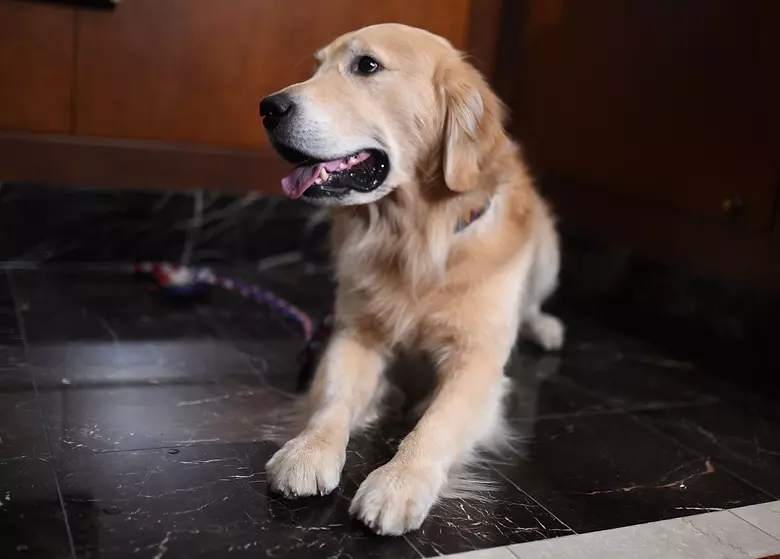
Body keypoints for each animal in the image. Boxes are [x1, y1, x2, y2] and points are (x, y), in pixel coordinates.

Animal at [258, 23, 564, 540]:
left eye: (367, 65)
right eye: (316, 67)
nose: (267, 108)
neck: (414, 238)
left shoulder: (477, 361)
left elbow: (436, 422)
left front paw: (399, 481)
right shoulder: (354, 334)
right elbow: (332, 400)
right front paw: (308, 450)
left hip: (548, 252)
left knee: (533, 304)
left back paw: (543, 326)